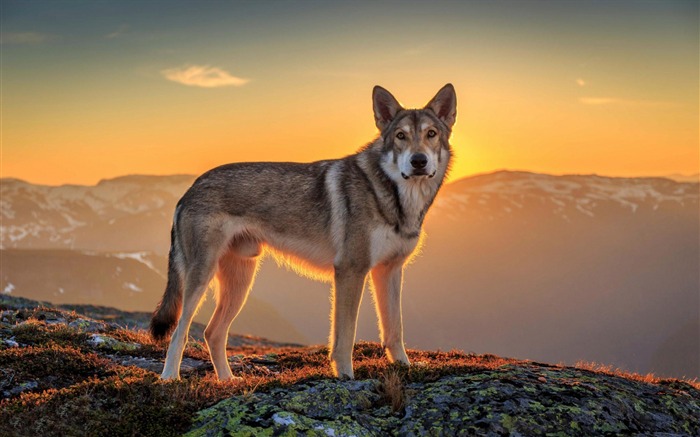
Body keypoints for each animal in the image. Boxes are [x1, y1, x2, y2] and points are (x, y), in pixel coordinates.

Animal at [150, 84, 456, 378]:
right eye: (401, 136)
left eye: (431, 134)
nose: (418, 161)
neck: (394, 196)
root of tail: (190, 189)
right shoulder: (350, 271)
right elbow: (345, 336)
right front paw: (345, 376)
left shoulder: (390, 270)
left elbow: (395, 330)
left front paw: (404, 367)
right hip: (202, 278)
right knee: (180, 332)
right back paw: (169, 379)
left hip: (241, 282)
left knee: (212, 333)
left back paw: (228, 380)